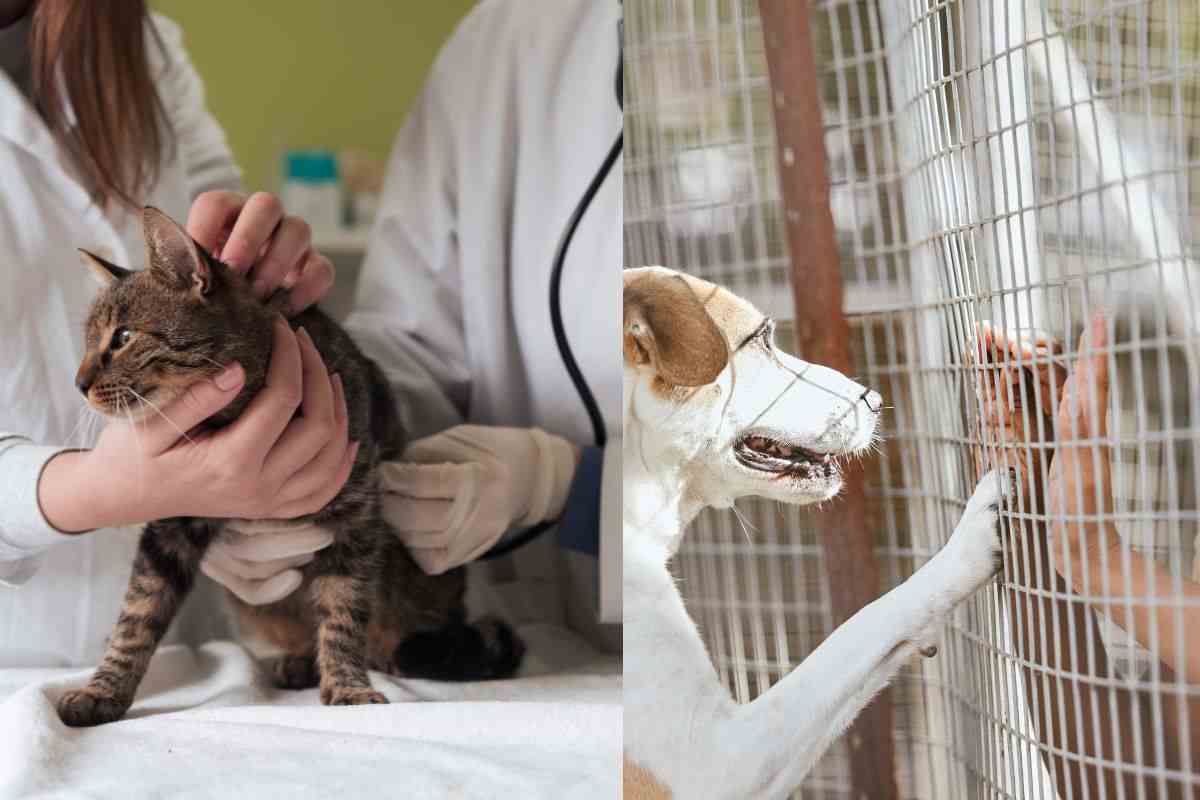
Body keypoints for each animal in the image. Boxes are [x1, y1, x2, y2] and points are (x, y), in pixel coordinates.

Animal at [58, 205, 523, 724]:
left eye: (122, 337)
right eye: (88, 342)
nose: (79, 382)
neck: (232, 414)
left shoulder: (356, 517)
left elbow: (343, 611)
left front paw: (347, 683)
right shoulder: (170, 521)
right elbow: (137, 615)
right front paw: (104, 688)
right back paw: (298, 662)